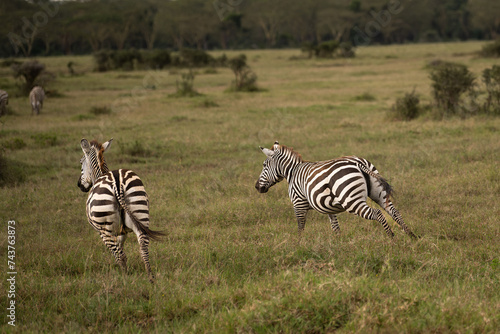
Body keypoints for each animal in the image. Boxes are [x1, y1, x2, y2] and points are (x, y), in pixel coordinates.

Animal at [77, 138, 165, 282]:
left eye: (81, 162)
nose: (79, 185)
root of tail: (117, 183)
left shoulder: (103, 232)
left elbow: (117, 252)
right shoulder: (122, 232)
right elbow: (121, 245)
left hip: (105, 228)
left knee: (121, 255)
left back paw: (125, 278)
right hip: (141, 214)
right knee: (143, 248)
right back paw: (150, 278)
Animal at [256, 141, 416, 240]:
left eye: (264, 165)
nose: (257, 187)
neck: (292, 171)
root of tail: (357, 162)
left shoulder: (298, 204)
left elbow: (300, 226)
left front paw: (298, 245)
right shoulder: (327, 207)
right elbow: (335, 228)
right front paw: (339, 246)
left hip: (351, 201)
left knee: (377, 213)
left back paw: (392, 238)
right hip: (379, 193)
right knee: (394, 212)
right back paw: (412, 236)